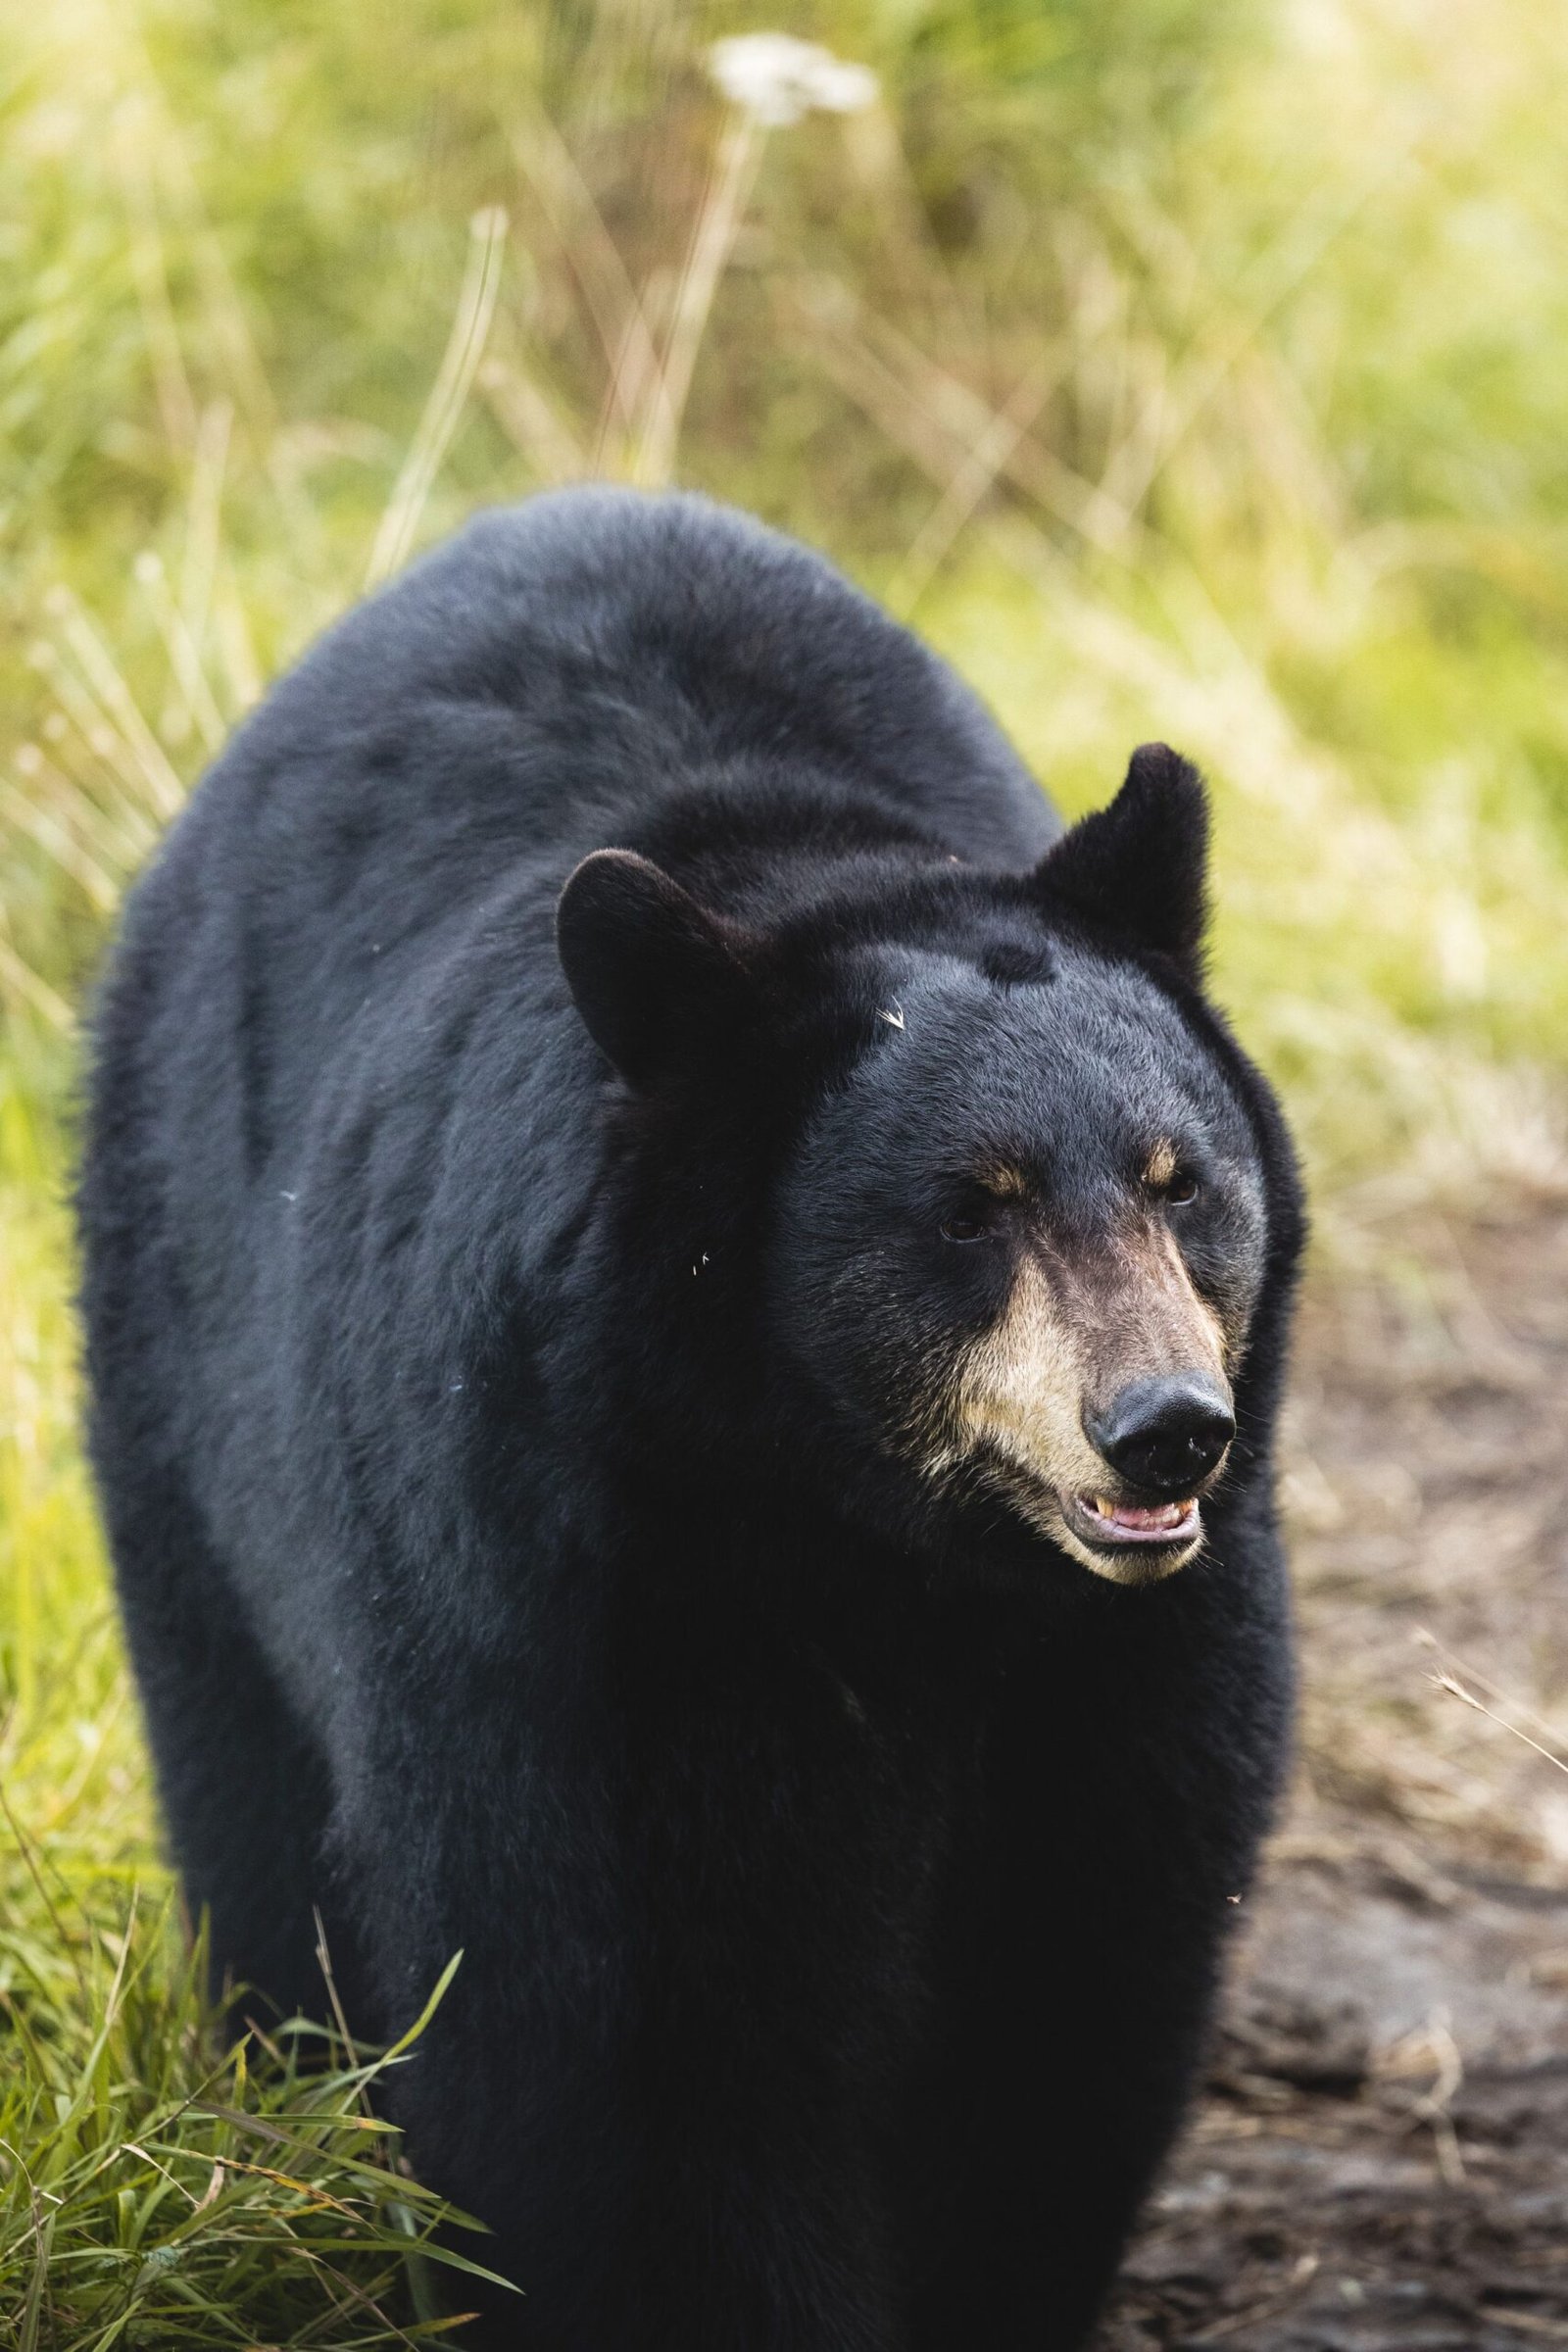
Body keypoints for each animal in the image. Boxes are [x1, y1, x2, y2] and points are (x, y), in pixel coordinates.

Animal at [78, 487, 1302, 2351]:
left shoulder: (1134, 1665)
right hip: (182, 1394)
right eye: (972, 1210)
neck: (875, 1541)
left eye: (1181, 1183)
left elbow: (1066, 2000)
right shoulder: (574, 1583)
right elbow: (627, 2038)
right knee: (257, 1820)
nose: (1163, 1429)